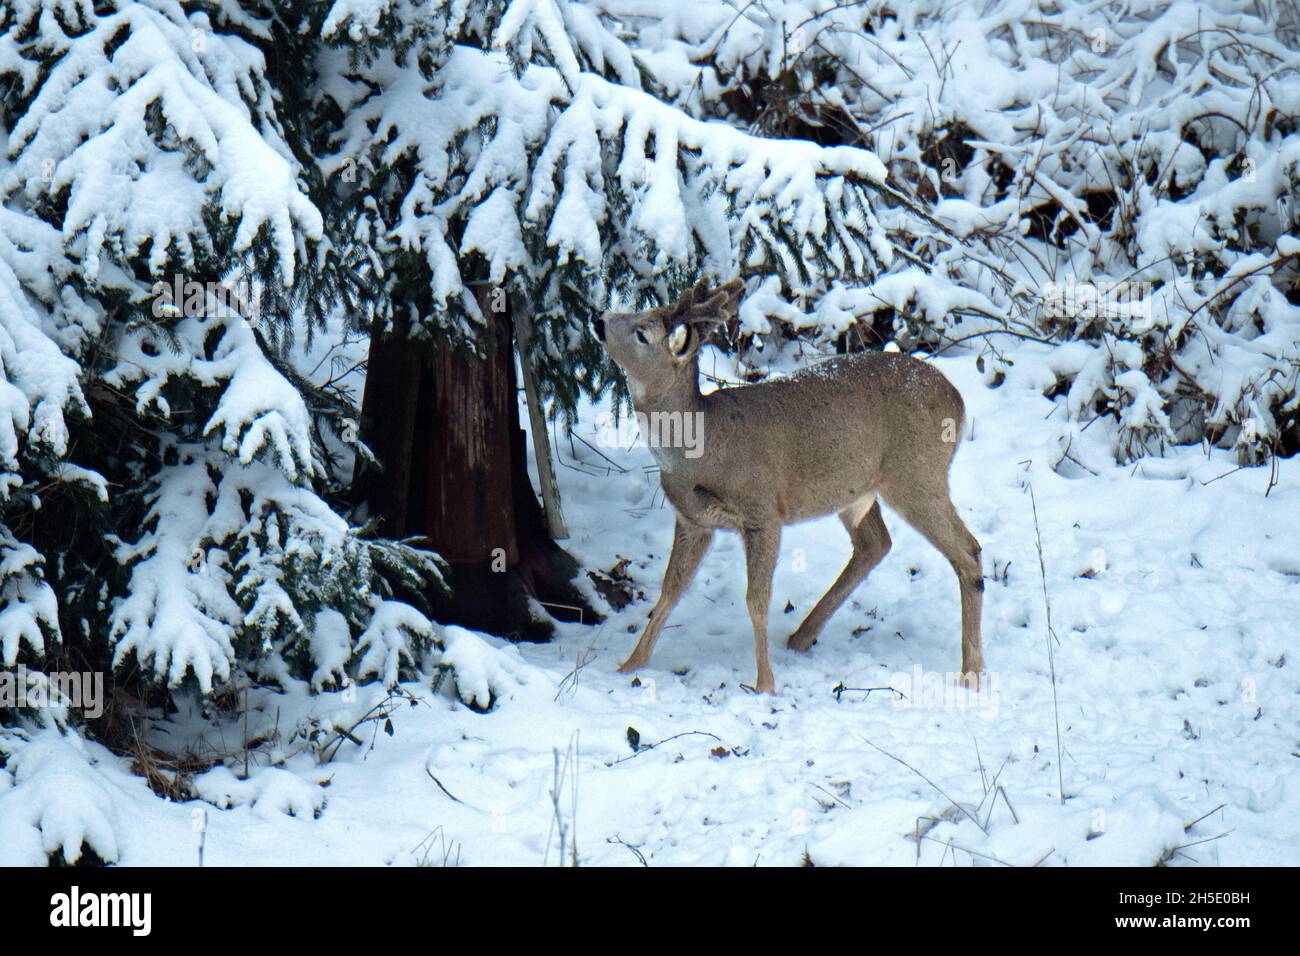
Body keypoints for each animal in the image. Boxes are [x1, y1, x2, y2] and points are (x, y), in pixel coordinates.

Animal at [593, 277, 984, 694]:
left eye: (642, 333)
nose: (598, 319)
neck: (702, 448)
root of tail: (959, 401)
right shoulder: (692, 520)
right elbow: (669, 591)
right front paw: (630, 664)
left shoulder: (763, 512)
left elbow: (756, 600)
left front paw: (764, 684)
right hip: (856, 489)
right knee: (875, 544)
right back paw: (801, 636)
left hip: (918, 473)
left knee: (967, 550)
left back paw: (972, 673)